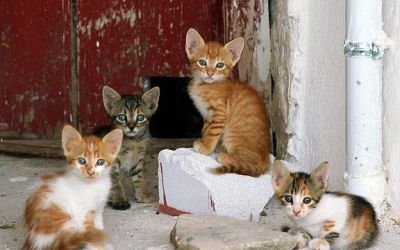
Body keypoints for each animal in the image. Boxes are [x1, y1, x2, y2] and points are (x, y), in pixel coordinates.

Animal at [186, 28, 270, 177]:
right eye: (203, 62)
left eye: (220, 65)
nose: (210, 73)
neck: (204, 84)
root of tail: (266, 163)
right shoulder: (207, 116)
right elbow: (205, 130)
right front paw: (204, 142)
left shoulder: (219, 113)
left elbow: (211, 133)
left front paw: (206, 148)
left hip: (232, 134)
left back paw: (225, 156)